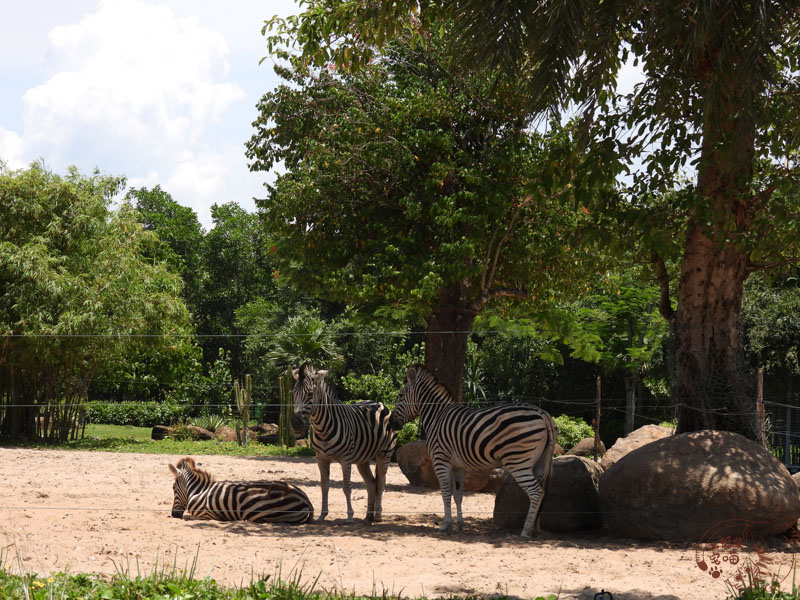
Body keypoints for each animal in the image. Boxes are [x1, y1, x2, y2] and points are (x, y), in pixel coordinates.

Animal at [168, 458, 312, 524]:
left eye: (173, 488)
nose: (174, 514)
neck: (199, 491)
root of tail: (305, 498)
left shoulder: (207, 514)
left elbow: (187, 516)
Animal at [290, 360, 396, 524]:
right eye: (294, 393)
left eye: (310, 394)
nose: (296, 424)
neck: (322, 428)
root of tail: (379, 403)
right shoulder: (321, 458)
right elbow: (324, 486)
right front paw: (322, 515)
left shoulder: (346, 459)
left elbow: (347, 487)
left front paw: (350, 516)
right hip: (363, 459)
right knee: (371, 483)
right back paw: (368, 516)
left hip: (385, 453)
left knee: (381, 482)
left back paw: (377, 515)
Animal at [388, 366, 556, 540]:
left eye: (400, 396)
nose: (391, 423)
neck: (437, 416)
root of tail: (542, 413)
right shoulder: (458, 467)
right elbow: (458, 495)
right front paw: (459, 525)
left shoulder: (440, 461)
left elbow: (445, 494)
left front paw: (446, 524)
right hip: (538, 462)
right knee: (542, 491)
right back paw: (535, 529)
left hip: (518, 461)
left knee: (536, 492)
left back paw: (526, 531)